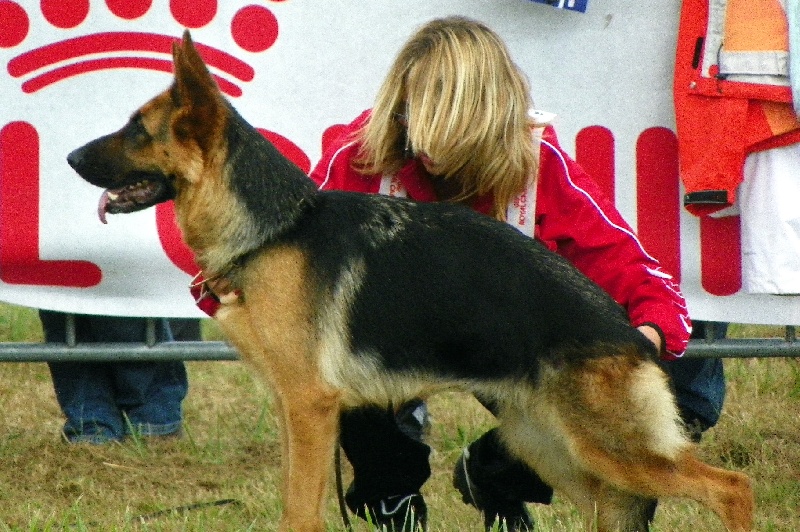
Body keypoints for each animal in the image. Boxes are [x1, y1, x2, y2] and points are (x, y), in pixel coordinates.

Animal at [65, 32, 752, 528]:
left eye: (137, 129)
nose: (69, 157)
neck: (278, 228)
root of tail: (632, 335)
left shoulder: (311, 408)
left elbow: (299, 512)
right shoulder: (295, 411)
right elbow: (296, 503)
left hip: (609, 450)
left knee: (731, 488)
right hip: (555, 448)